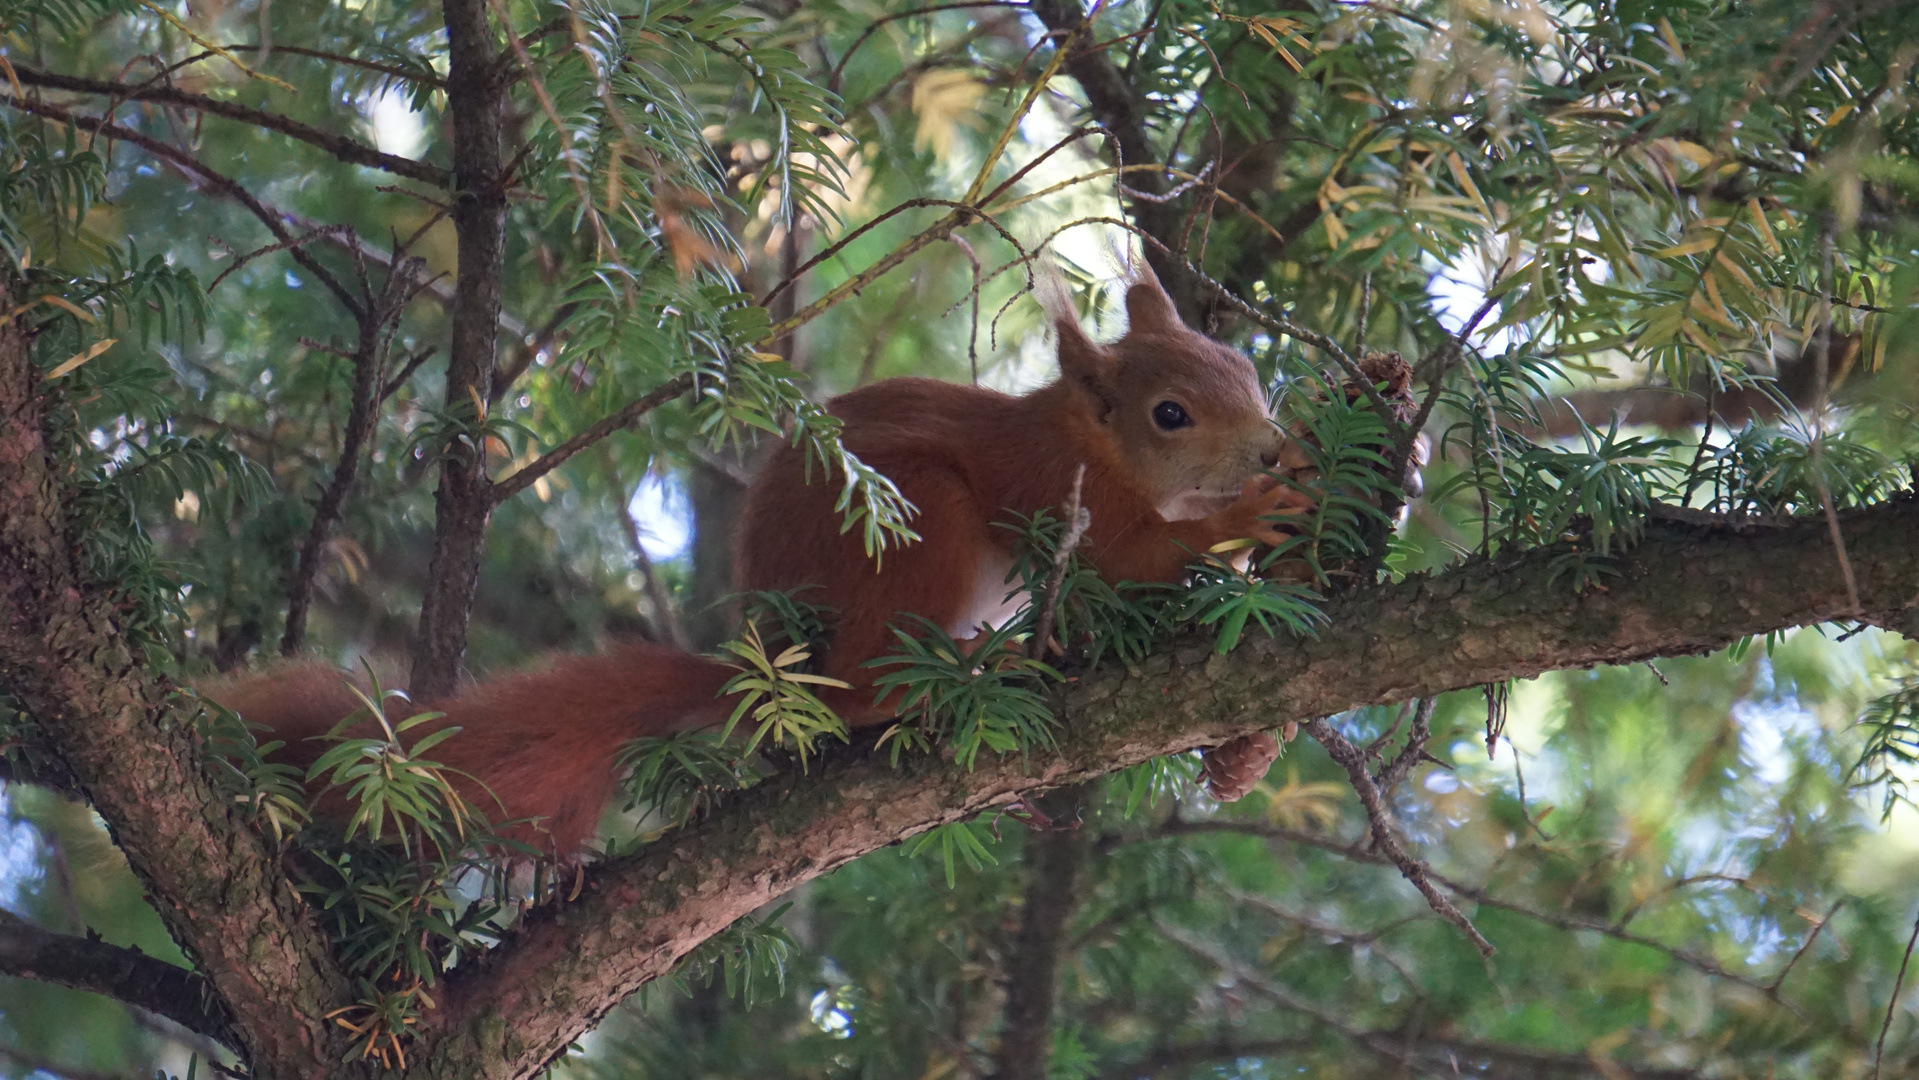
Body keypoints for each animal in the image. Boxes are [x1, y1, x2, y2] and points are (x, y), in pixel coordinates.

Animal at [210, 257, 1312, 859]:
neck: (1089, 439)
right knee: (861, 688)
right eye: (1169, 414)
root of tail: (775, 659)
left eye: (1243, 366)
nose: (1268, 445)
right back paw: (958, 672)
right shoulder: (1053, 489)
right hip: (920, 533)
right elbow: (1133, 557)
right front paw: (1250, 515)